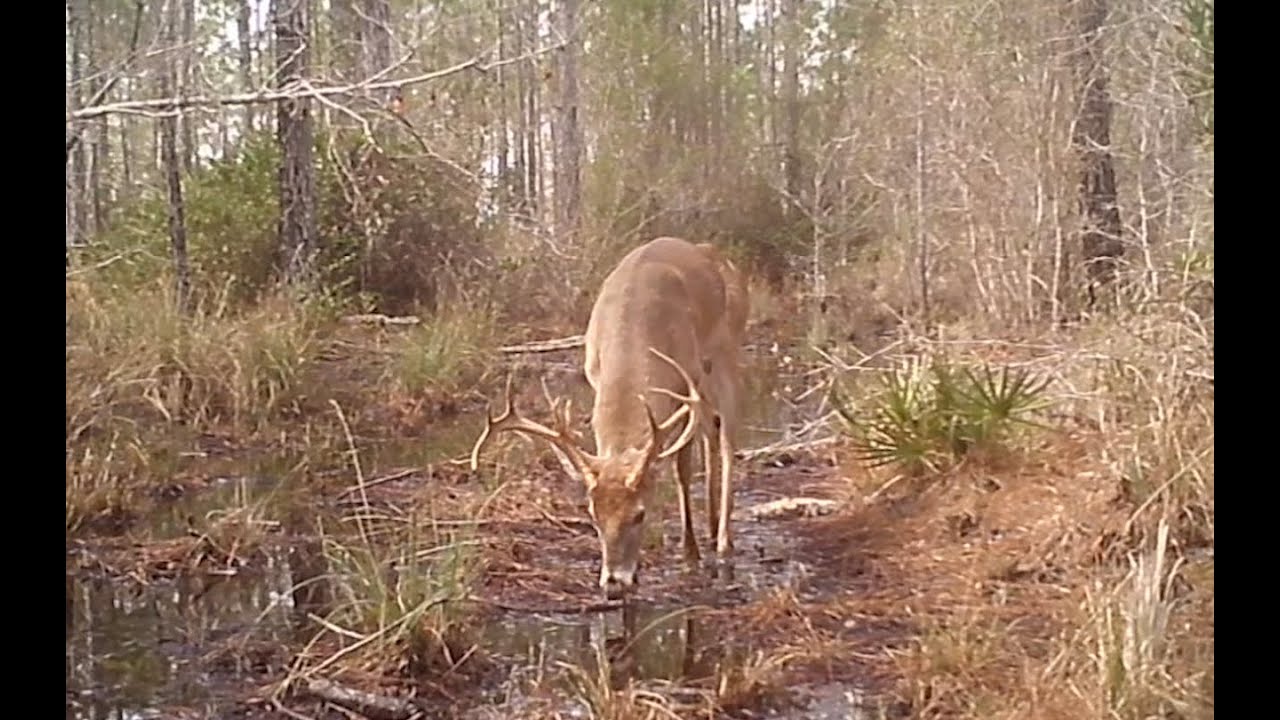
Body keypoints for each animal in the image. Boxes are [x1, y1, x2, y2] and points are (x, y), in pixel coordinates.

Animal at [470, 236, 749, 600]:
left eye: (640, 515)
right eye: (593, 516)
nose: (614, 583)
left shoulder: (684, 385)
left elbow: (681, 470)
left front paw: (690, 555)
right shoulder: (595, 373)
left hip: (726, 351)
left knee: (728, 437)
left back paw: (723, 541)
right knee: (710, 433)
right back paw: (713, 524)